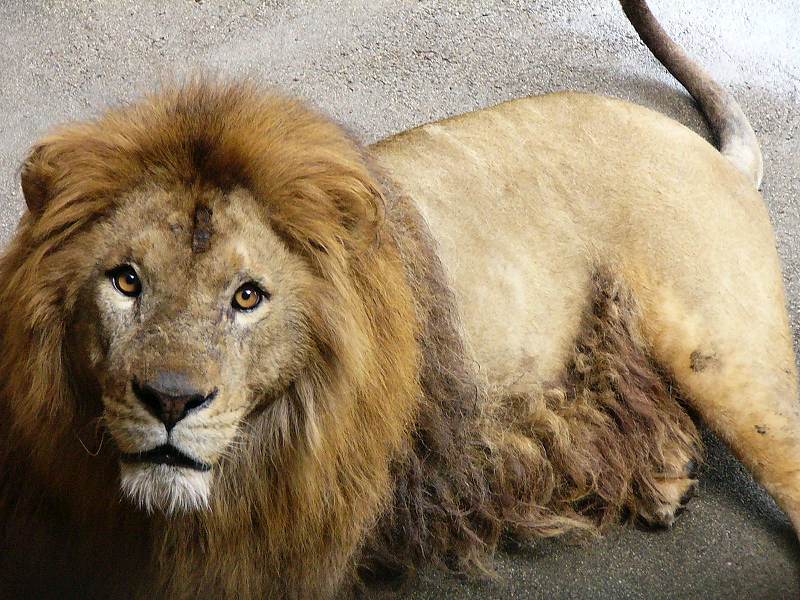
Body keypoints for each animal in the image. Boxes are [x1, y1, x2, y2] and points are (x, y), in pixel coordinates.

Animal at [1, 1, 800, 600]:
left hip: (729, 363)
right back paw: (663, 483)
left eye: (248, 296)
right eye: (126, 281)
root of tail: (711, 153)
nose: (170, 400)